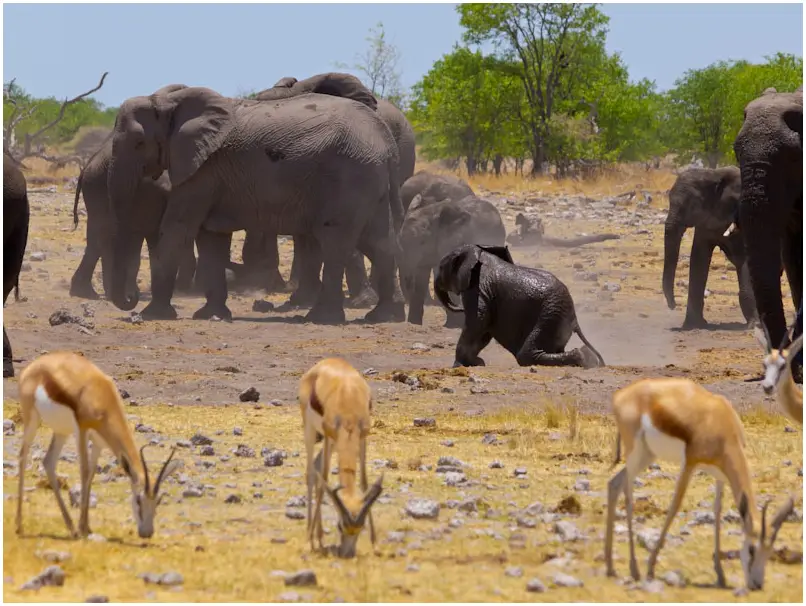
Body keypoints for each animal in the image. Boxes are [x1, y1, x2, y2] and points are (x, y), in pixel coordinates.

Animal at [106, 86, 405, 326]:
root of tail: (386, 140)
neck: (169, 101)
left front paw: (151, 314)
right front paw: (211, 315)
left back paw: (322, 319)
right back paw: (385, 316)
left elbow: (177, 228)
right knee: (379, 242)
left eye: (138, 143)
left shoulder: (202, 170)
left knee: (335, 240)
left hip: (350, 175)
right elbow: (211, 237)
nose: (131, 299)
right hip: (369, 180)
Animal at [434, 244, 606, 369]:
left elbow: (477, 322)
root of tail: (575, 319)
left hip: (550, 315)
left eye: (441, 267)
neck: (479, 252)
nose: (458, 307)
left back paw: (582, 358)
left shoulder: (478, 289)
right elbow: (484, 331)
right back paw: (588, 360)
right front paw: (477, 363)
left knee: (525, 355)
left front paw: (458, 366)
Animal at [662, 166, 757, 329]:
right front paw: (693, 325)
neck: (714, 174)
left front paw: (754, 325)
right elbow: (698, 259)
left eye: (691, 204)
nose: (673, 305)